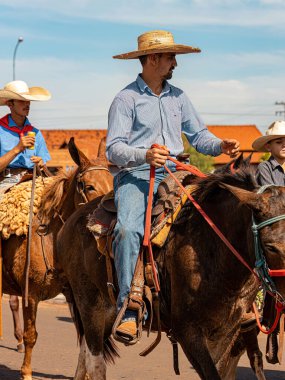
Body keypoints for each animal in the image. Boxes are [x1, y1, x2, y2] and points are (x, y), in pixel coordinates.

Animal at [2, 138, 113, 380]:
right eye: (88, 186)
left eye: (112, 180)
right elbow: (31, 335)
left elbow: (84, 338)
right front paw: (26, 373)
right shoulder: (31, 294)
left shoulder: (76, 294)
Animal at [56, 165, 284, 378]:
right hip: (89, 304)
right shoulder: (188, 332)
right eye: (271, 247)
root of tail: (72, 220)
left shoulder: (228, 331)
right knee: (95, 361)